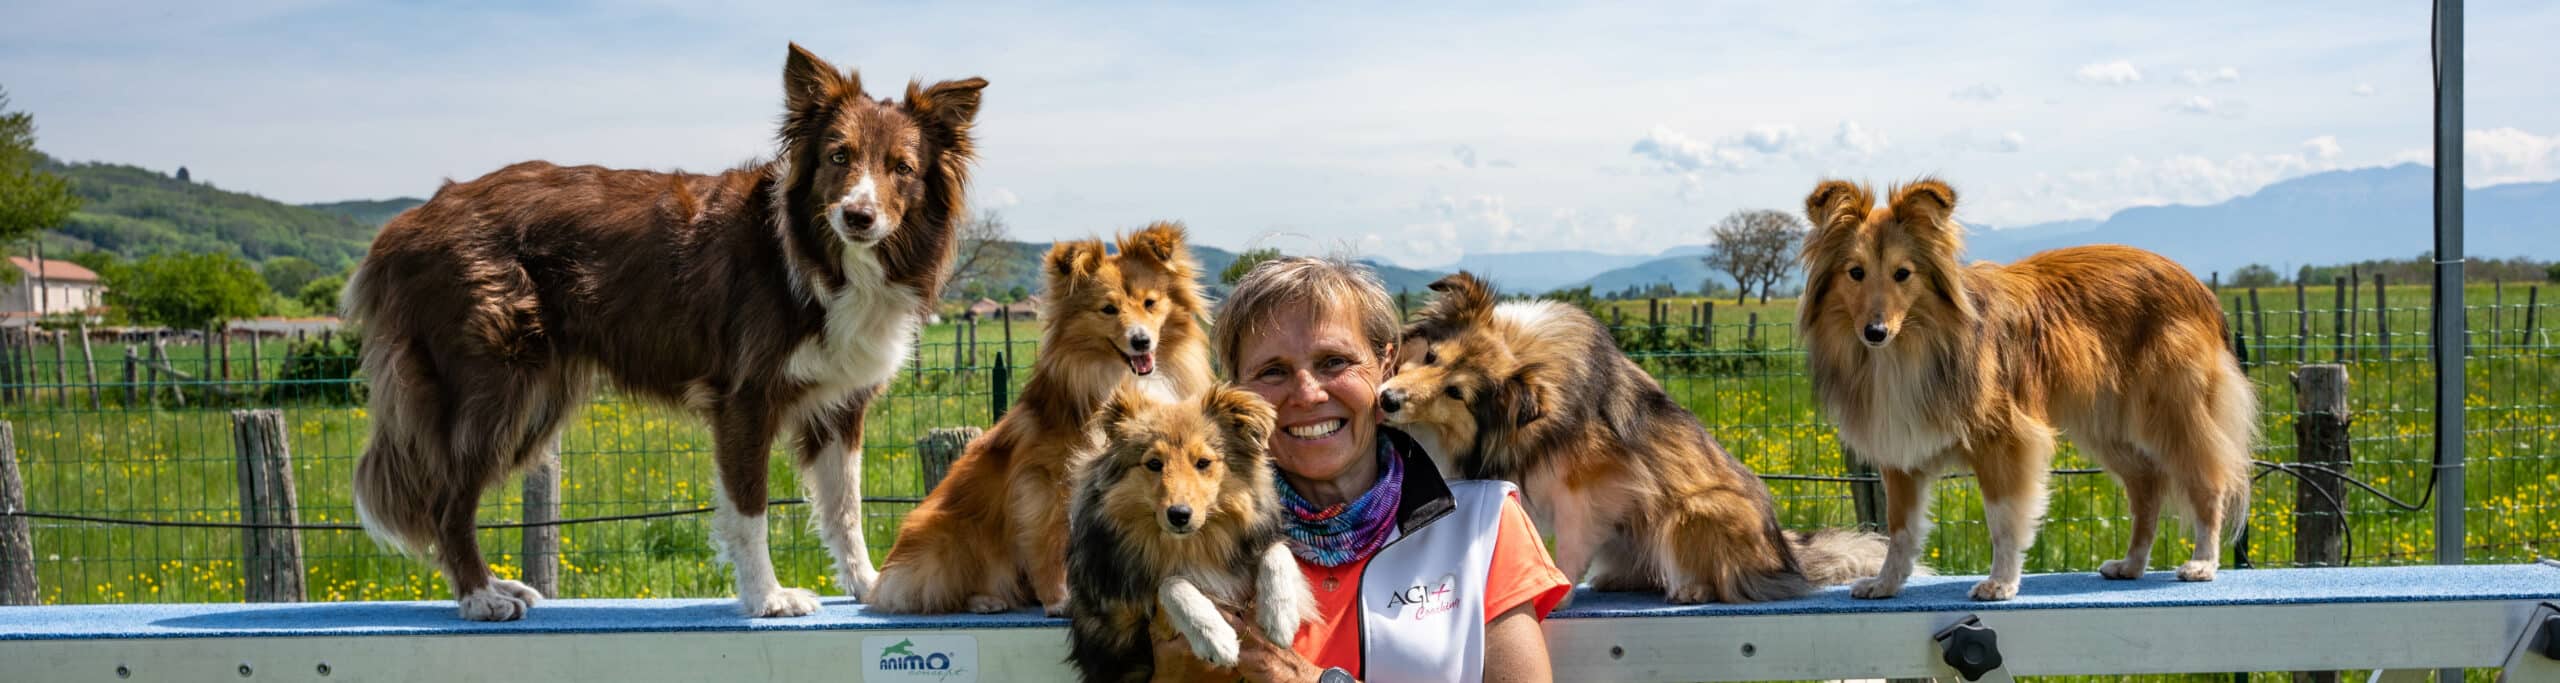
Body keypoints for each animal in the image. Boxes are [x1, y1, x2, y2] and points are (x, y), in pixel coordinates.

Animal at [340, 42, 977, 621]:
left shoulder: (841, 406)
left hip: (540, 398)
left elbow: (845, 508)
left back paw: (497, 586)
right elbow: (750, 507)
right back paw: (480, 597)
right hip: (496, 389)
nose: (858, 216)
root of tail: (409, 220)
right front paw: (766, 599)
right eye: (838, 157)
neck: (821, 256)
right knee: (448, 500)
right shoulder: (745, 398)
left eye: (901, 168)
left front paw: (868, 584)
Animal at [865, 223, 1213, 616]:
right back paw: (985, 600)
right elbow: (1050, 542)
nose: (1141, 341)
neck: (1124, 378)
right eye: (1108, 309)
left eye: (1150, 303)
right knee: (938, 591)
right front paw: (1060, 600)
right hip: (949, 533)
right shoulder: (1047, 483)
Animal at [1059, 388, 1310, 680]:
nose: (1179, 515)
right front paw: (1215, 636)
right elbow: (1170, 583)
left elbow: (1277, 550)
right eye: (1154, 463)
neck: (1190, 546)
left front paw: (1280, 616)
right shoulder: (1128, 631)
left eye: (1203, 462)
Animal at [1382, 273, 1904, 606]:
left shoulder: (1592, 489)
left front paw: (1560, 589)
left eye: (1456, 392)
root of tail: (1785, 555)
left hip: (1694, 511)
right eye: (1430, 356)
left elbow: (1571, 544)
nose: (1387, 399)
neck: (1529, 358)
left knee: (1723, 578)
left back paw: (1692, 588)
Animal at [1792, 179, 2252, 603]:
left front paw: (2000, 582)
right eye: (1855, 272)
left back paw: (2202, 562)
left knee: (2208, 483)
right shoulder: (1901, 453)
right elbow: (1900, 528)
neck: (1911, 348)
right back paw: (2132, 563)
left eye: (1902, 274)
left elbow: (2003, 519)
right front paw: (1886, 583)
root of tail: (2198, 286)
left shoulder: (2005, 440)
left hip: (2171, 413)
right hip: (2108, 426)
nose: (1875, 331)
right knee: (2148, 489)